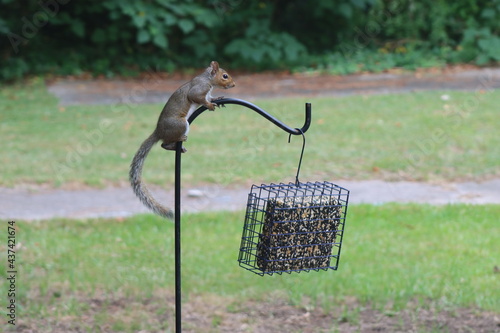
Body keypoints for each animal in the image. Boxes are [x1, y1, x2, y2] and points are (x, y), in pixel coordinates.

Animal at [129, 61, 234, 219]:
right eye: (225, 76)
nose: (233, 84)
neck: (208, 80)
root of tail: (159, 131)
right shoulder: (199, 88)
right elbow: (196, 97)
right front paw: (209, 105)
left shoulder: (207, 92)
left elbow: (209, 98)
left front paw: (216, 99)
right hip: (181, 124)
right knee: (164, 144)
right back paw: (179, 139)